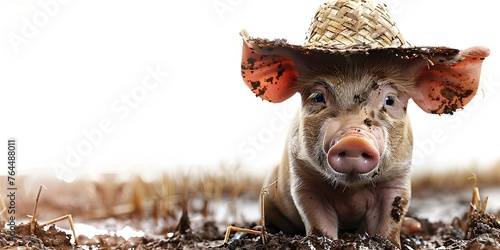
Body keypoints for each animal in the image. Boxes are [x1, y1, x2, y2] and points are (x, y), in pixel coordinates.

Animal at [238, 30, 488, 246]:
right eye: (318, 97)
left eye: (390, 100)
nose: (354, 139)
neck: (352, 191)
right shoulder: (303, 181)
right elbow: (319, 220)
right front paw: (326, 242)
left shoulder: (397, 181)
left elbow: (388, 222)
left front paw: (388, 243)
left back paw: (414, 226)